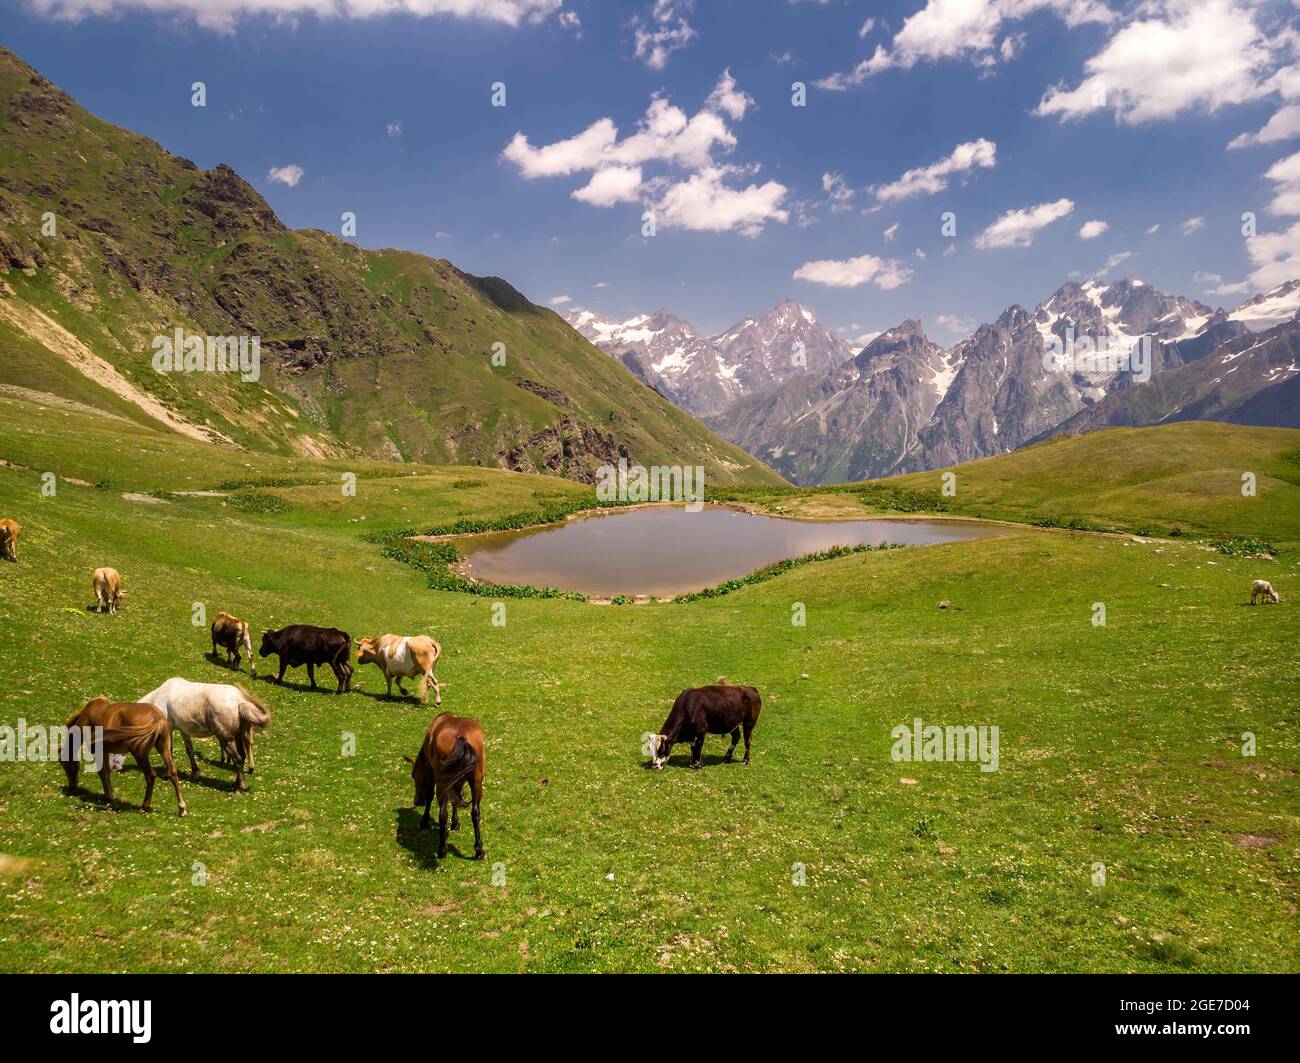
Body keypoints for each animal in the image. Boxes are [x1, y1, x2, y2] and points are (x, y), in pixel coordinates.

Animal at [139, 675, 269, 790]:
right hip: (238, 737)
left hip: (225, 740)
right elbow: (189, 750)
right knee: (242, 756)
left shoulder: (169, 729)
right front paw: (195, 772)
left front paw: (167, 775)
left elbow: (168, 751)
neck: (159, 696)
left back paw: (240, 786)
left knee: (238, 759)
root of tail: (240, 702)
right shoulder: (183, 730)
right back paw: (236, 783)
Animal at [403, 706, 486, 857]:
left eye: (413, 775)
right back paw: (479, 850)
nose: (417, 801)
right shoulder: (456, 781)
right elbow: (455, 799)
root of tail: (461, 736)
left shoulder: (429, 770)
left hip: (442, 782)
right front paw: (455, 822)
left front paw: (424, 821)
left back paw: (442, 849)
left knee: (442, 813)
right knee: (475, 812)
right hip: (476, 781)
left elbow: (431, 796)